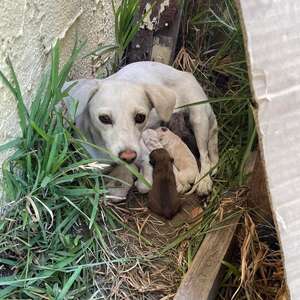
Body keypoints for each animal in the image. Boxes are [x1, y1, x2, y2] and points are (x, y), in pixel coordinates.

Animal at [63, 61, 218, 197]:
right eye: (104, 118)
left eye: (140, 117)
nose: (128, 156)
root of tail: (185, 73)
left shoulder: (146, 154)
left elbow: (146, 184)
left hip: (199, 118)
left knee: (205, 157)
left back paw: (204, 182)